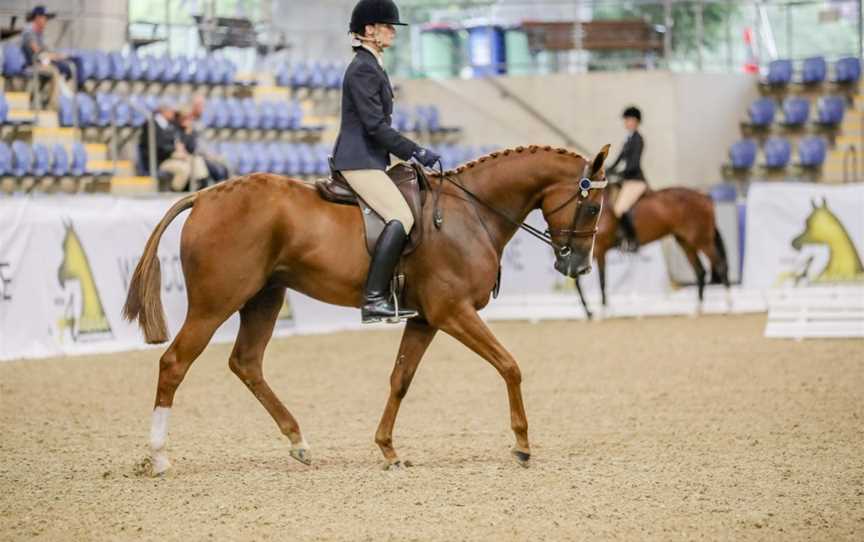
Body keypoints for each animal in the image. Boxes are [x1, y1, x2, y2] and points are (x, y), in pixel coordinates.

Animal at [126, 144, 616, 476]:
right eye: (593, 205)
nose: (578, 267)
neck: (470, 213)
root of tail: (206, 196)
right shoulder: (453, 312)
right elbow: (509, 365)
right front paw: (522, 444)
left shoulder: (426, 319)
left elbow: (401, 379)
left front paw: (388, 449)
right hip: (215, 303)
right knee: (174, 363)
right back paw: (159, 457)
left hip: (265, 298)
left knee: (246, 363)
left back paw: (299, 442)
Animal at [572, 186, 728, 318]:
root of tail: (704, 196)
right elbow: (578, 280)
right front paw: (589, 312)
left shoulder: (599, 249)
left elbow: (602, 281)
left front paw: (603, 311)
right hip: (685, 242)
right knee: (700, 271)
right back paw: (698, 309)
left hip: (702, 241)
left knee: (720, 266)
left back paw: (728, 304)